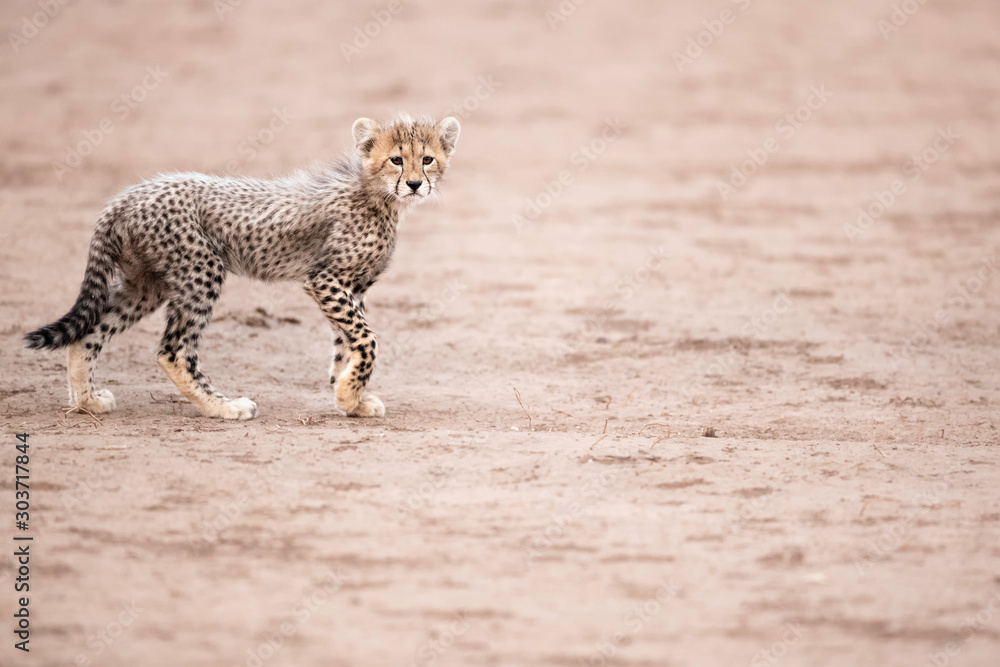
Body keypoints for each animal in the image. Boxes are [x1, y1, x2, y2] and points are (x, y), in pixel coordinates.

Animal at [23, 114, 461, 420]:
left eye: (427, 159)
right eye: (395, 160)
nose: (415, 184)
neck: (377, 196)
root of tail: (128, 195)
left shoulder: (349, 288)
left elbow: (345, 342)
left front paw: (348, 396)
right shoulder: (325, 279)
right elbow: (366, 340)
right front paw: (350, 392)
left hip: (146, 284)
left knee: (89, 333)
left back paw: (87, 401)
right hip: (200, 271)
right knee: (174, 351)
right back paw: (224, 407)